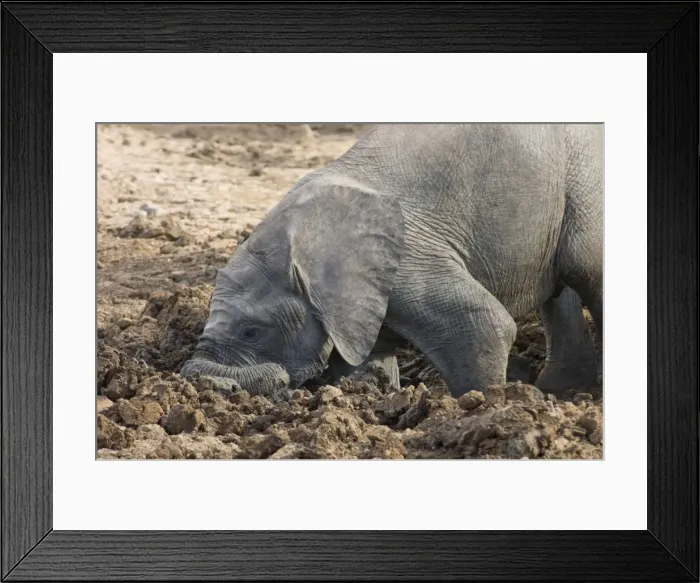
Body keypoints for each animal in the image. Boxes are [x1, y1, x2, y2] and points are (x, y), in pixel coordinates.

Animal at [181, 124, 603, 400]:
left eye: (251, 332)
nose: (217, 386)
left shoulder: (409, 259)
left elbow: (487, 325)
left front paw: (480, 408)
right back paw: (560, 392)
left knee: (587, 272)